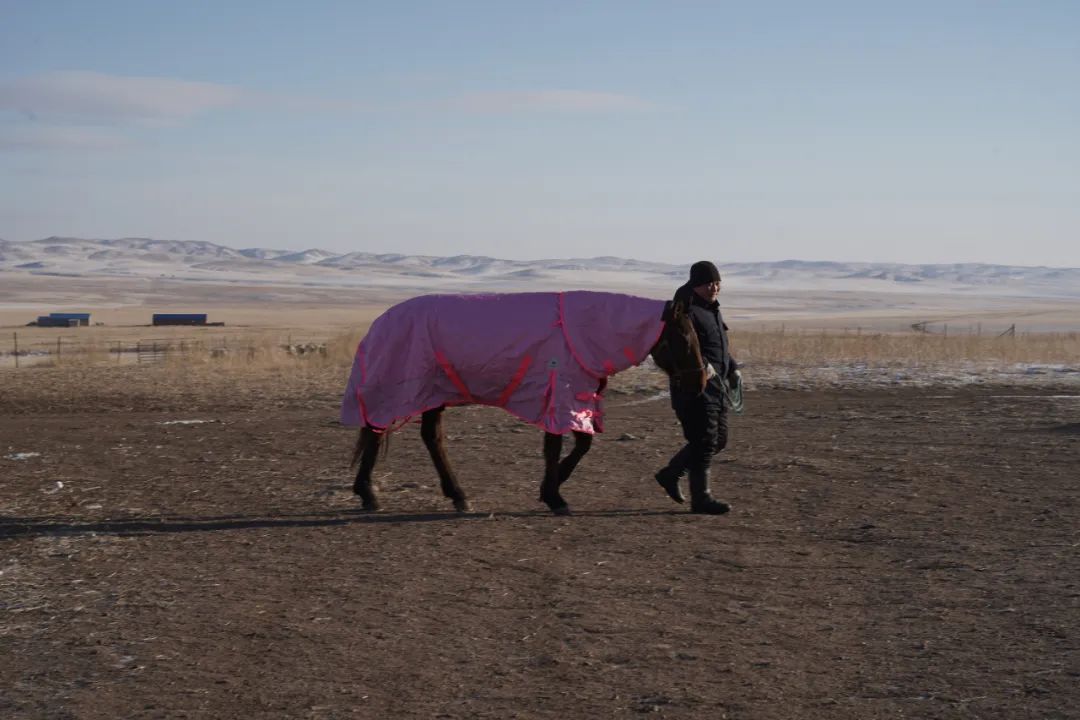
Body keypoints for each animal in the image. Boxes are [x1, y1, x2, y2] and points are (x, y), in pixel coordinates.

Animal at [341, 289, 704, 515]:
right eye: (685, 336)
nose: (701, 381)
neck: (577, 331)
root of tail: (379, 322)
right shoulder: (558, 394)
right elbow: (555, 447)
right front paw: (554, 495)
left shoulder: (574, 398)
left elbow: (581, 445)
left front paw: (551, 487)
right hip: (399, 390)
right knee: (378, 431)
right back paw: (371, 493)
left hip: (433, 394)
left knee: (427, 437)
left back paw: (454, 495)